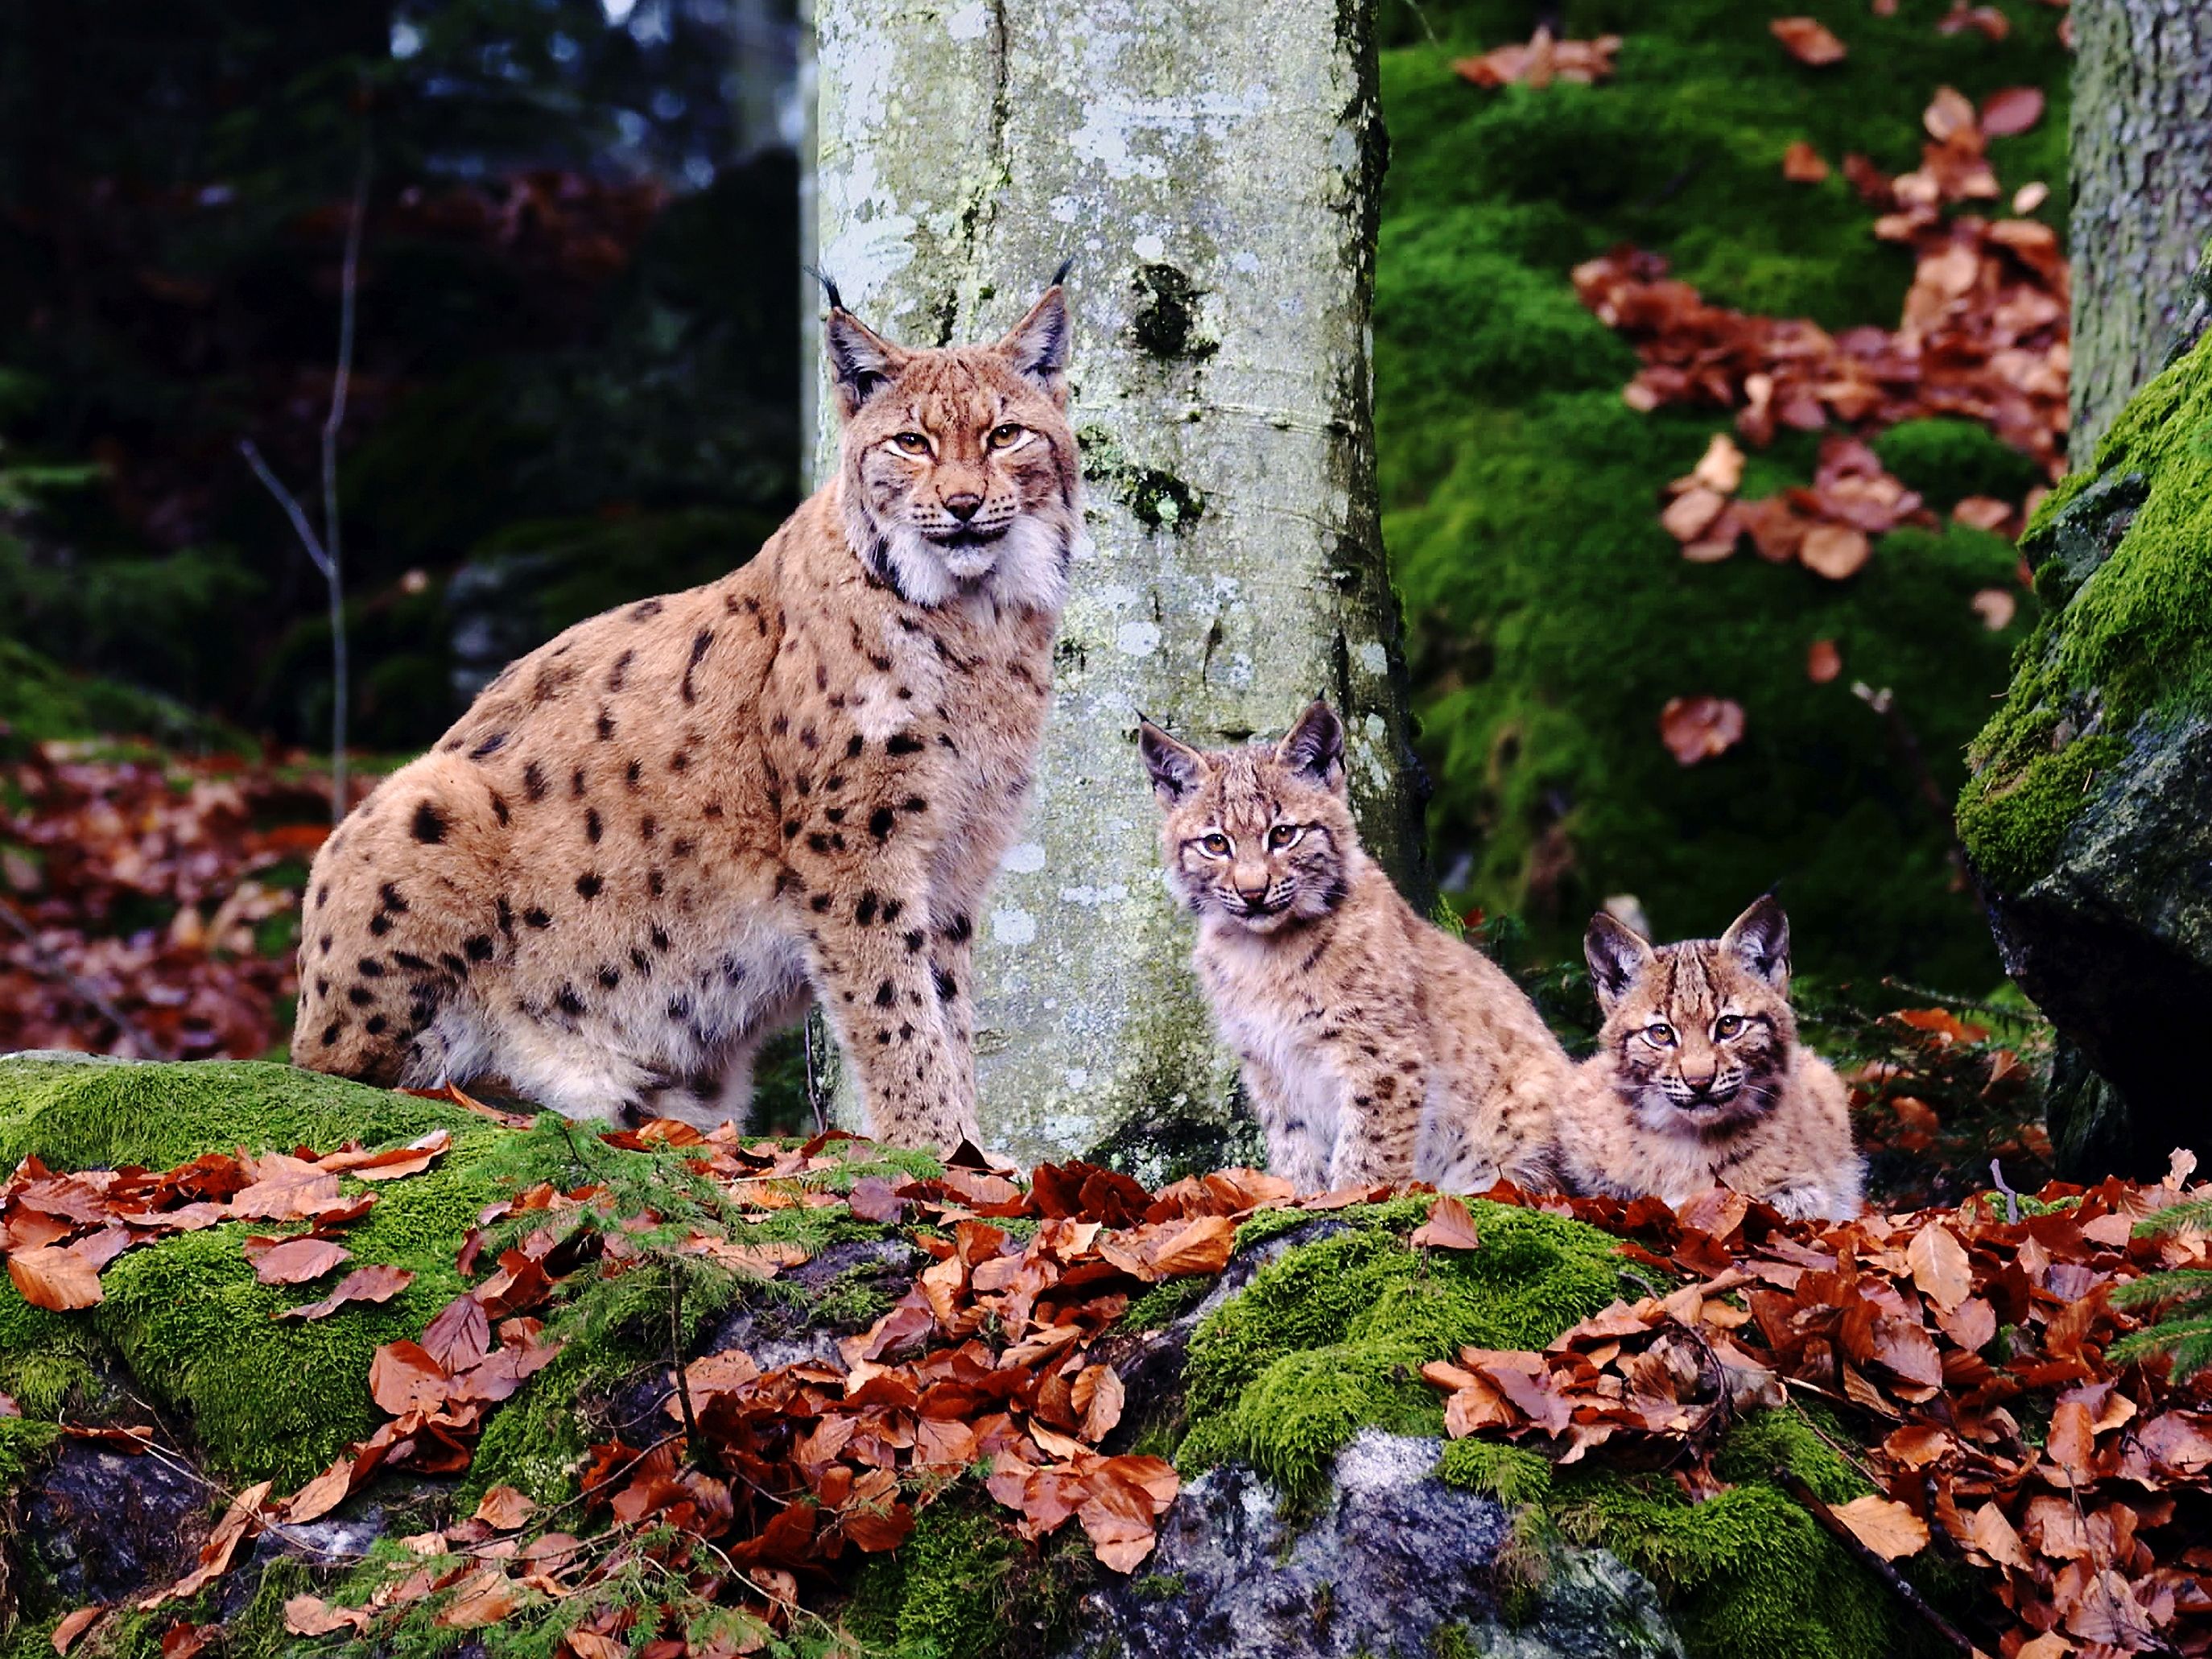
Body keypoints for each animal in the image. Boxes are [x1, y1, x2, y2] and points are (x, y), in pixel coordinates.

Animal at [289, 276, 1083, 1158]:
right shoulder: (853, 840)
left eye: (1006, 435)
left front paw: (970, 1150)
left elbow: (946, 1003)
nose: (965, 504)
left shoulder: (956, 850)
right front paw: (936, 1147)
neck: (976, 618)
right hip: (422, 796)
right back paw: (555, 1078)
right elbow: (893, 1004)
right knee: (352, 1072)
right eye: (910, 443)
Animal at [1141, 703, 1574, 1194]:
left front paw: (1349, 1198)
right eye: (1216, 843)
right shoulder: (1266, 1061)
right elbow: (1292, 1141)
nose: (1253, 892)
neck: (1263, 951)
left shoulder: (1382, 1052)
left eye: (1283, 835)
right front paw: (1299, 1197)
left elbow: (1369, 1147)